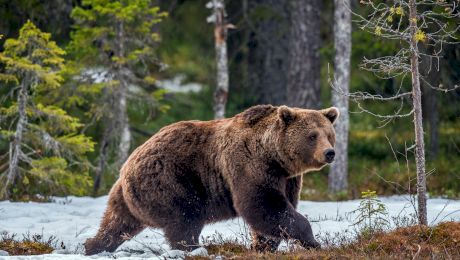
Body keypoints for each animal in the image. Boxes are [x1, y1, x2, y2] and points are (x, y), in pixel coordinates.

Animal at [85, 103, 338, 254]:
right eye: (312, 136)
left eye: (329, 134)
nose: (330, 153)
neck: (274, 156)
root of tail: (128, 164)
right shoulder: (249, 167)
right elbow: (263, 205)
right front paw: (313, 241)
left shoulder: (287, 179)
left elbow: (277, 210)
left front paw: (263, 245)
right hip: (171, 181)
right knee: (185, 218)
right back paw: (193, 248)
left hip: (125, 196)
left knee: (116, 223)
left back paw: (93, 246)